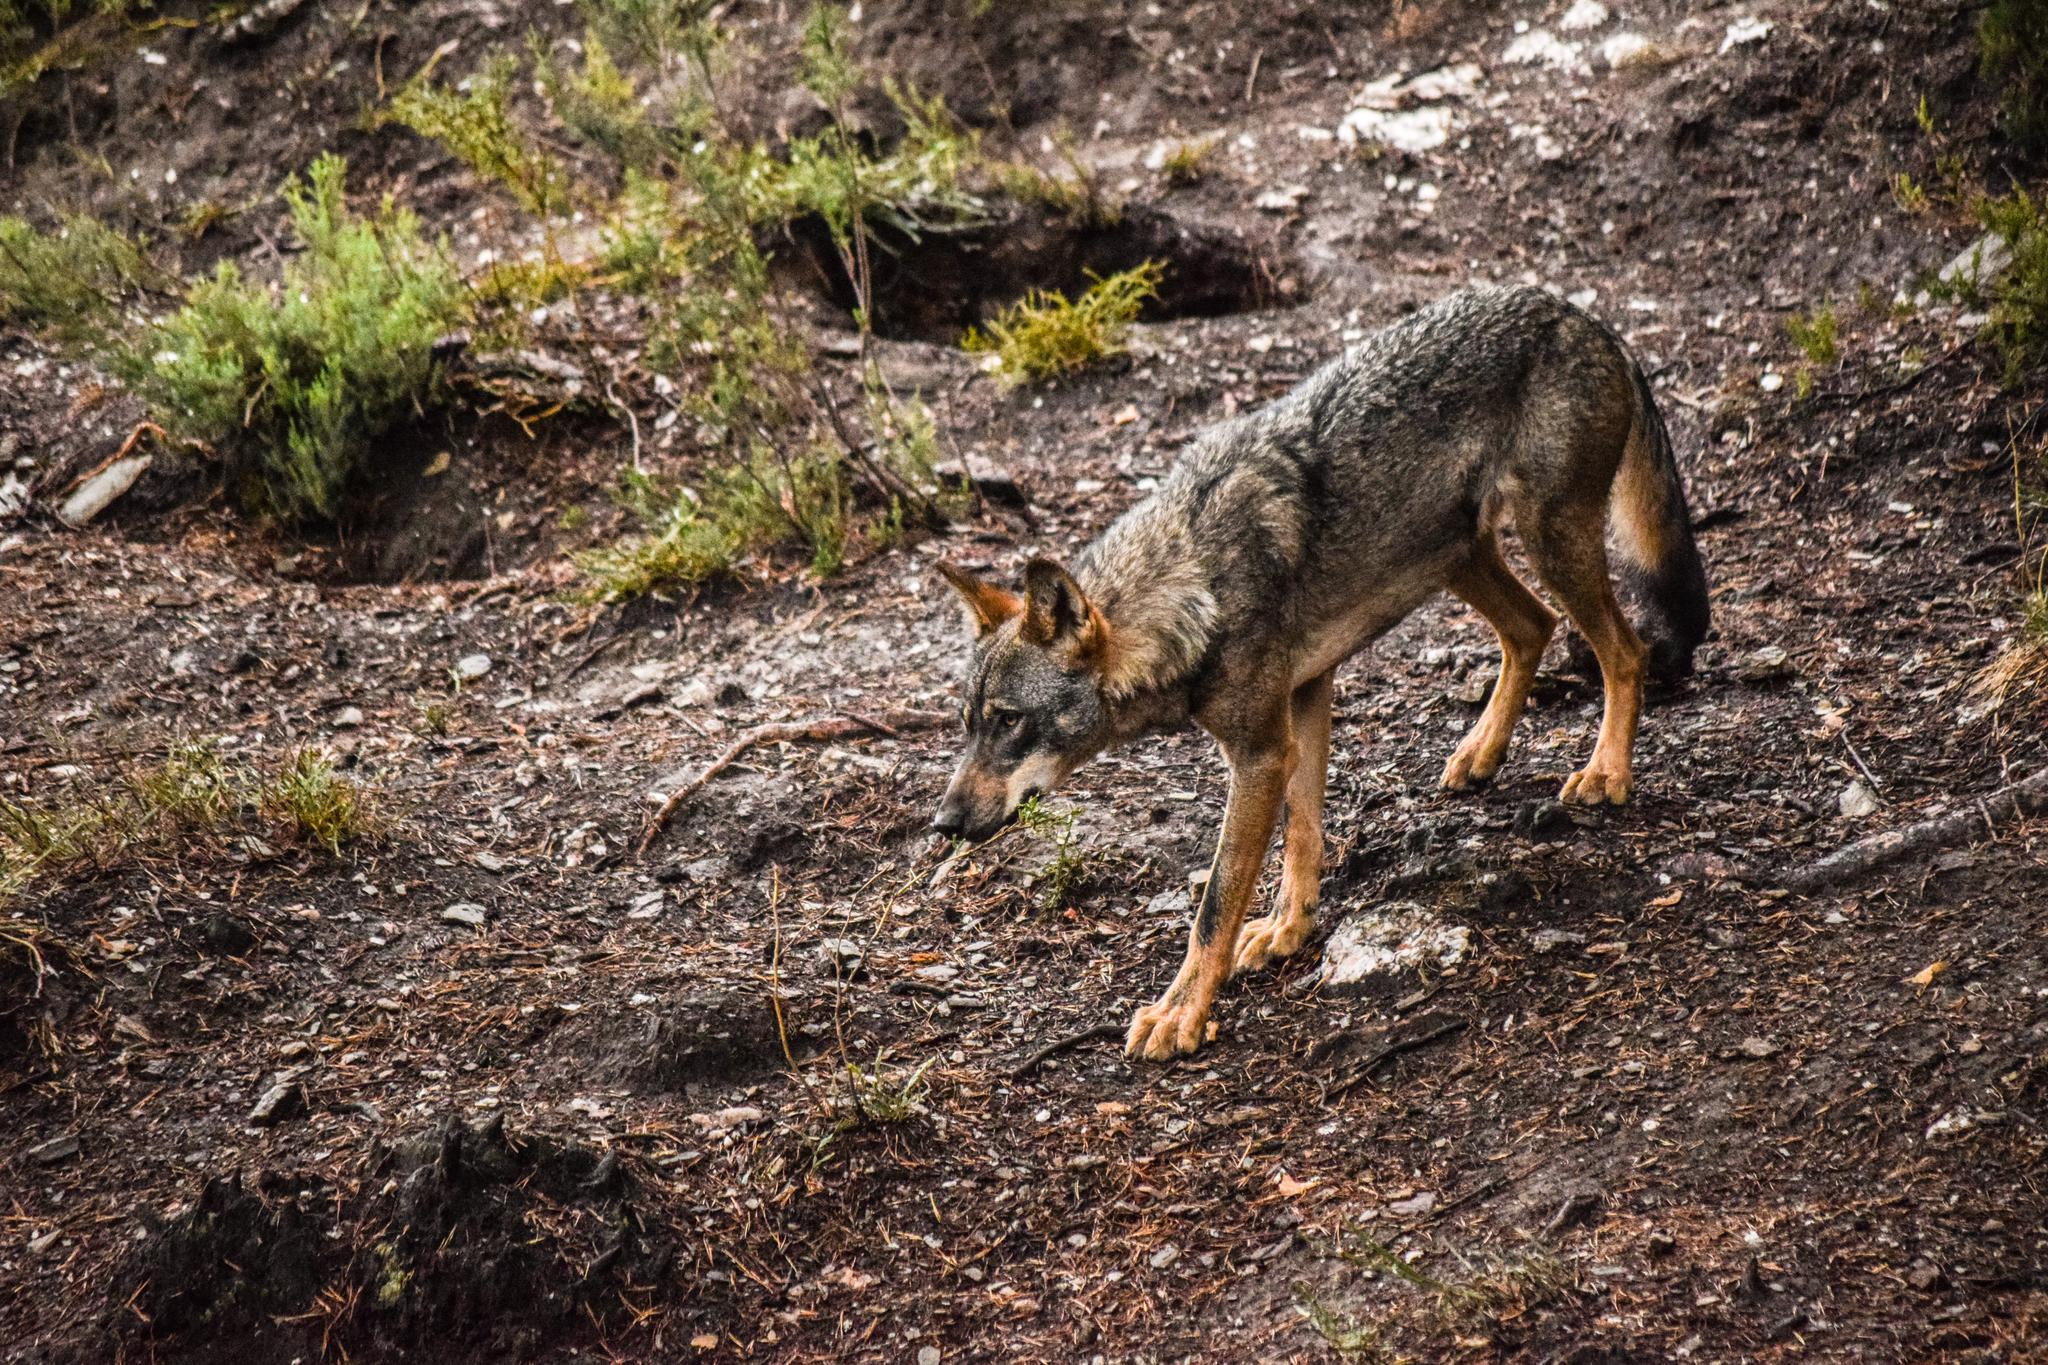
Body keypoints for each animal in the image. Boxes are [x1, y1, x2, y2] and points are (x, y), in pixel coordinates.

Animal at [929, 285, 1709, 1060]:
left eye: (1008, 720)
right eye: (968, 726)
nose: (943, 823)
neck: (1192, 585)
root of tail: (1578, 312)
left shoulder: (1259, 752)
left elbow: (1214, 904)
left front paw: (1180, 1015)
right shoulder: (1303, 699)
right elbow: (1302, 837)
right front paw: (1287, 930)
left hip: (1549, 542)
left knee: (1626, 650)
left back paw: (1606, 772)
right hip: (1457, 559)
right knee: (1533, 627)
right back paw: (1480, 752)